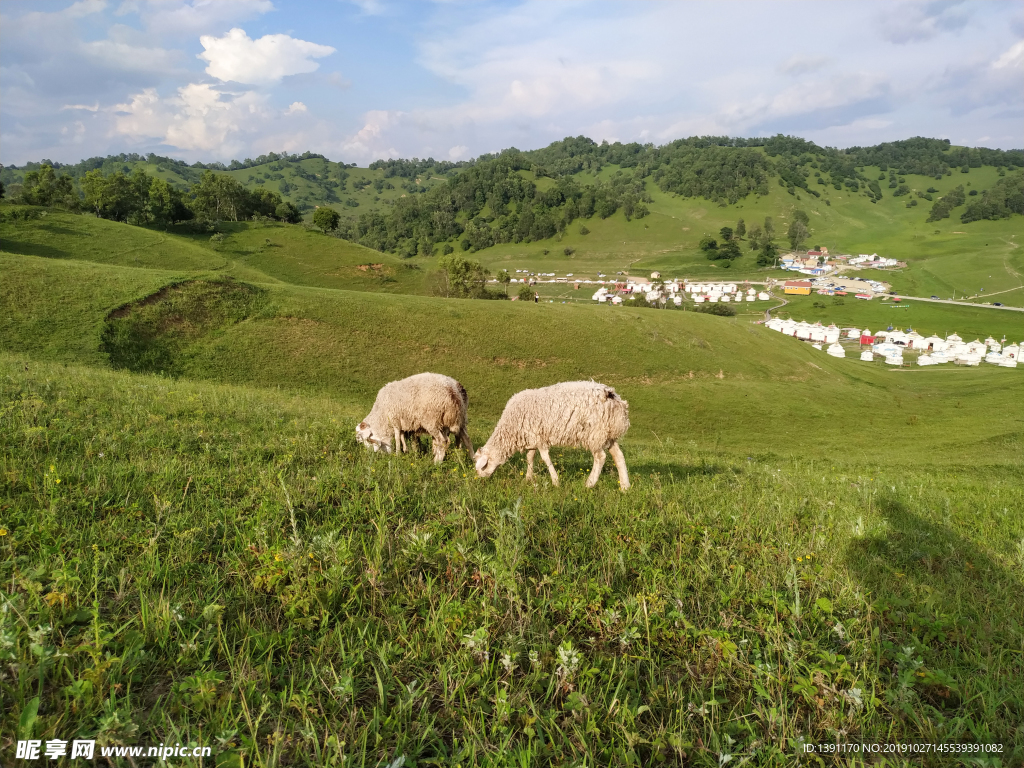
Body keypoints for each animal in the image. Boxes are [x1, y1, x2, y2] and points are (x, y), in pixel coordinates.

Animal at [473, 382, 630, 489]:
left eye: (482, 467)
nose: (481, 481)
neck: (510, 430)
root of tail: (610, 395)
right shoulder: (532, 437)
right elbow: (530, 458)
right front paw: (528, 479)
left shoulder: (540, 438)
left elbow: (545, 459)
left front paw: (555, 481)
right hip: (607, 433)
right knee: (618, 456)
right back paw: (625, 486)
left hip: (594, 433)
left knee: (600, 457)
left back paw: (589, 484)